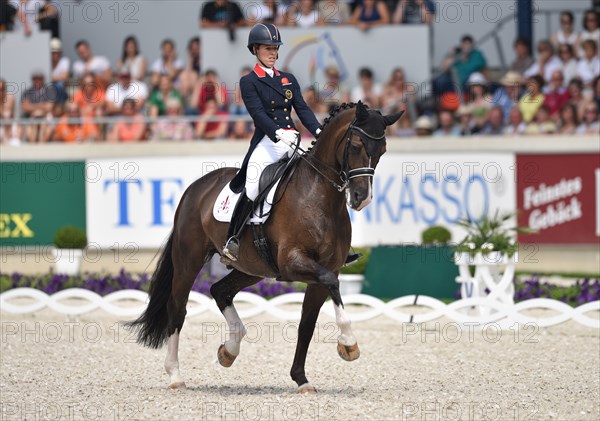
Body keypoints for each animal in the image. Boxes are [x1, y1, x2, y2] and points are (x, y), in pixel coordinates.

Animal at [129, 102, 406, 394]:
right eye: (354, 145)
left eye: (382, 150)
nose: (362, 199)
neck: (320, 196)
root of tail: (195, 188)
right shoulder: (294, 263)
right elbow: (332, 284)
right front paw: (349, 344)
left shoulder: (320, 272)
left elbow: (307, 324)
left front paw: (301, 379)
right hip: (188, 261)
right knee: (177, 310)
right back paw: (175, 375)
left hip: (251, 268)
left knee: (220, 291)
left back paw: (229, 350)